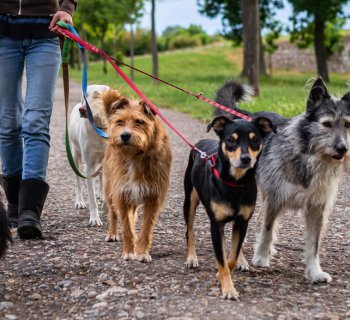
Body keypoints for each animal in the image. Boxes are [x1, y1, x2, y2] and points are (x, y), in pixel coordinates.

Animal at [69, 84, 110, 225]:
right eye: (85, 95)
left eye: (97, 96)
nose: (82, 109)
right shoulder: (89, 167)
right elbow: (92, 199)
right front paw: (94, 218)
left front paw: (106, 205)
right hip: (75, 156)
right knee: (77, 182)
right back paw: (80, 201)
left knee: (101, 177)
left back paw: (101, 195)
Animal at [101, 89, 172, 262]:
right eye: (120, 122)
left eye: (139, 121)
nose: (125, 135)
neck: (135, 156)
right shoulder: (121, 193)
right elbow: (126, 227)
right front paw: (128, 251)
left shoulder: (153, 197)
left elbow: (146, 228)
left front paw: (142, 252)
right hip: (109, 190)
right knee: (113, 213)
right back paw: (112, 233)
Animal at [182, 82, 274, 300]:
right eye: (231, 140)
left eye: (255, 140)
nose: (245, 159)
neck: (235, 184)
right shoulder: (217, 224)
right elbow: (222, 259)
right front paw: (228, 289)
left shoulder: (242, 221)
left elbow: (230, 256)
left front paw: (227, 272)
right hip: (189, 200)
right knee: (190, 231)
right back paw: (191, 257)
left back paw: (242, 261)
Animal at [213, 79, 350, 284]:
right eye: (327, 124)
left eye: (348, 124)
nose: (343, 148)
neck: (308, 156)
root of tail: (248, 116)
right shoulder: (275, 198)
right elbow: (267, 229)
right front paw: (261, 257)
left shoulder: (317, 207)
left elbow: (314, 244)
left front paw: (315, 271)